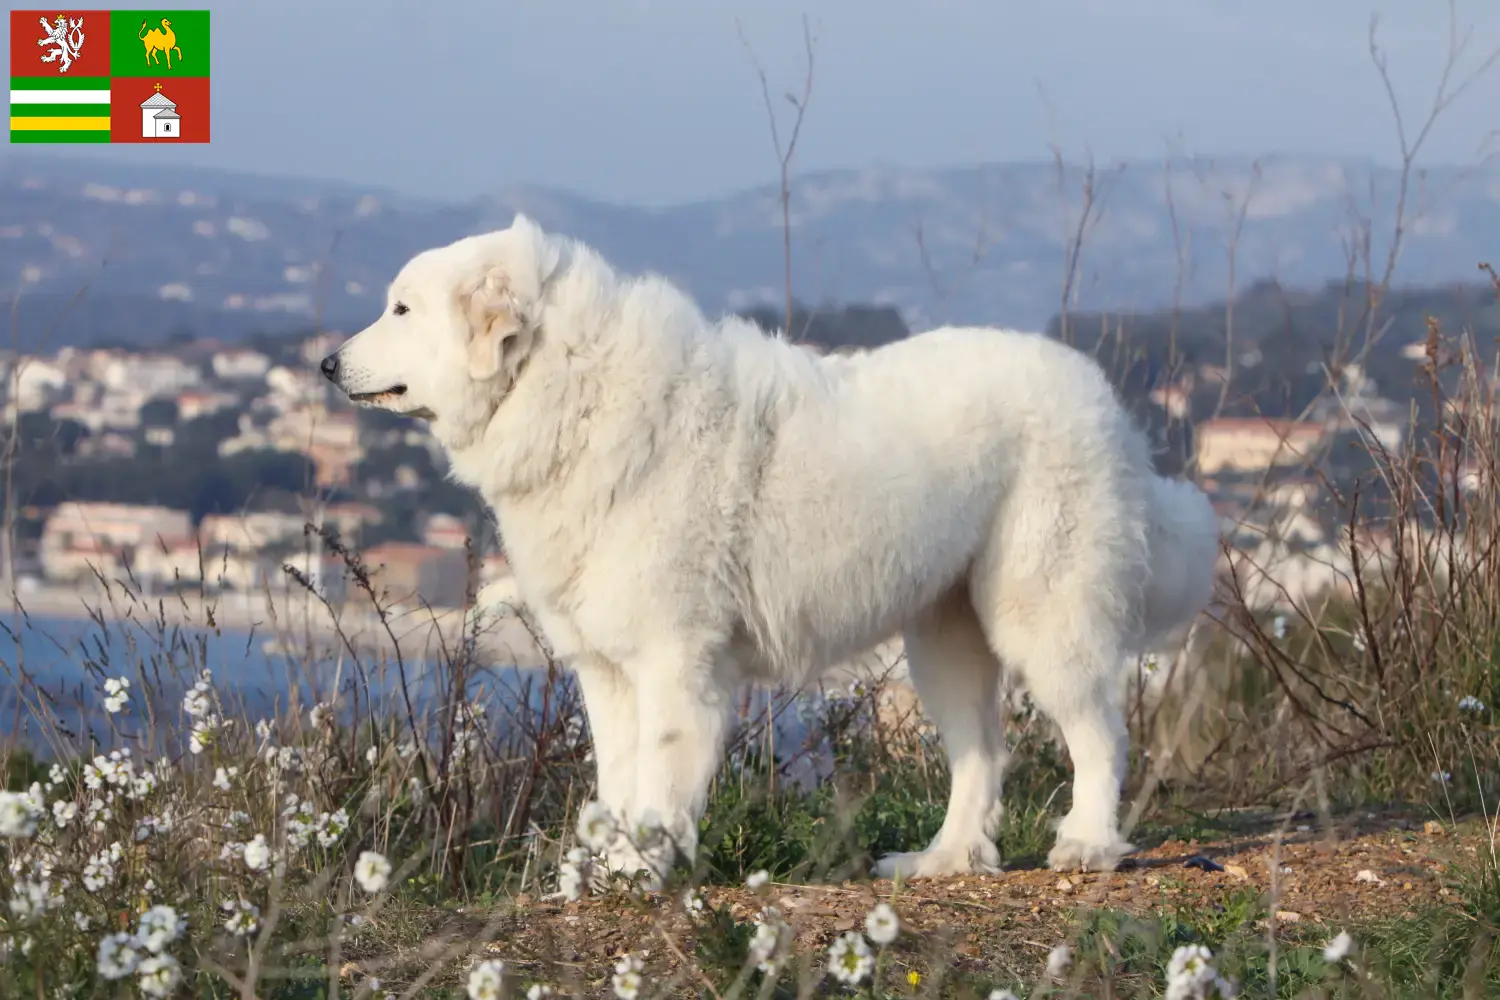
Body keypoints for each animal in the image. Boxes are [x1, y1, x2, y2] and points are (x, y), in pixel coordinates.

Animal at [322, 215, 1224, 881]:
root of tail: (1103, 400)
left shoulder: (674, 659)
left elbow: (658, 780)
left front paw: (644, 870)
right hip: (945, 641)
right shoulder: (606, 669)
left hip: (1043, 617)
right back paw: (943, 860)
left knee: (1100, 732)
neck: (571, 389)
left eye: (401, 310)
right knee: (981, 754)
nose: (327, 362)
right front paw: (608, 868)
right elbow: (617, 781)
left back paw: (1088, 843)